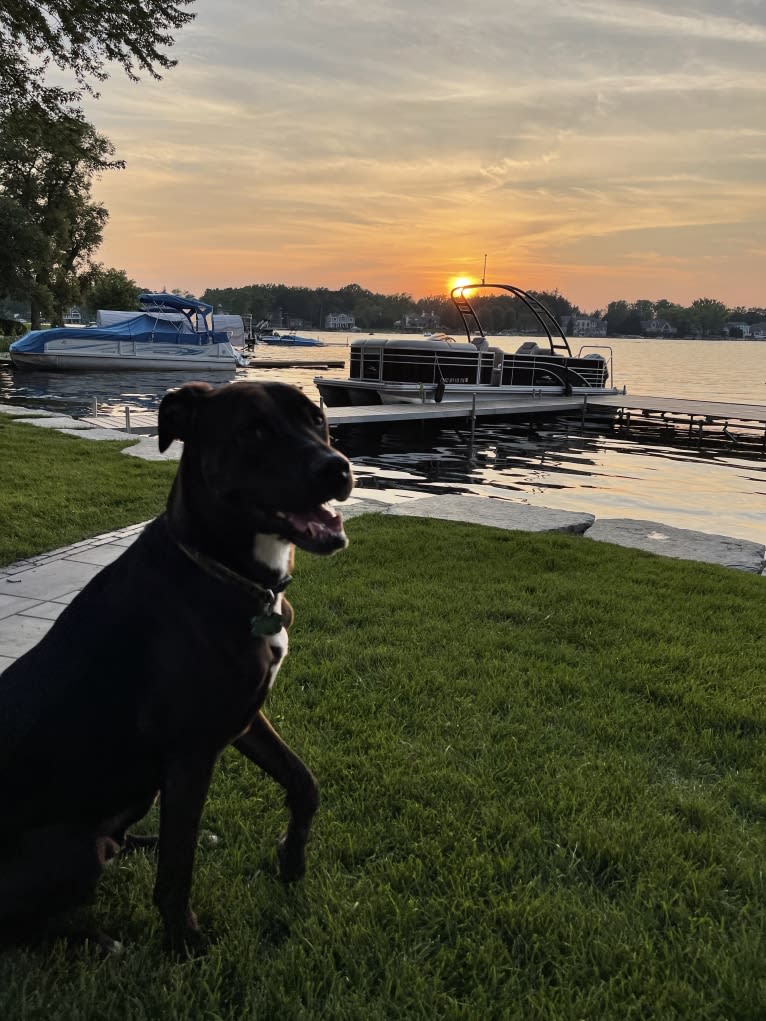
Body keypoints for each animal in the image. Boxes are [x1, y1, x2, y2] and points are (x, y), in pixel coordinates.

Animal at [0, 379, 353, 951]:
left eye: (315, 419)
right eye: (253, 431)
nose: (338, 468)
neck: (226, 572)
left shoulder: (245, 717)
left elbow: (304, 783)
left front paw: (291, 859)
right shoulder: (190, 752)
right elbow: (177, 863)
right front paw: (185, 943)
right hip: (70, 851)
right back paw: (99, 940)